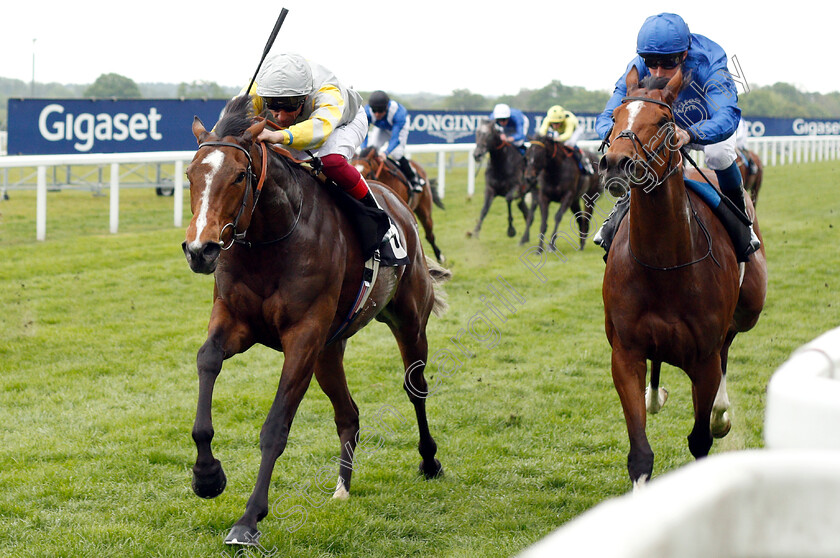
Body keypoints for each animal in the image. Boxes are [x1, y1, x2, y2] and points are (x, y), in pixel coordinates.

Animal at [181, 95, 450, 548]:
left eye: (239, 176)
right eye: (190, 175)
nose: (201, 250)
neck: (272, 240)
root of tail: (397, 204)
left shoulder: (303, 338)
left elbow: (275, 428)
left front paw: (248, 520)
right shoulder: (235, 322)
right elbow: (207, 361)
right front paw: (207, 476)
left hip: (409, 322)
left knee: (416, 388)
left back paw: (429, 462)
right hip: (329, 351)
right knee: (349, 414)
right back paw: (342, 487)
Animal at [596, 68, 768, 490]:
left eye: (663, 121)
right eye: (616, 116)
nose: (616, 163)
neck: (664, 265)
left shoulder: (703, 361)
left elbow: (700, 439)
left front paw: (716, 417)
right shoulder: (625, 353)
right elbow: (640, 453)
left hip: (749, 309)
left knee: (728, 345)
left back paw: (721, 411)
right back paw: (654, 394)